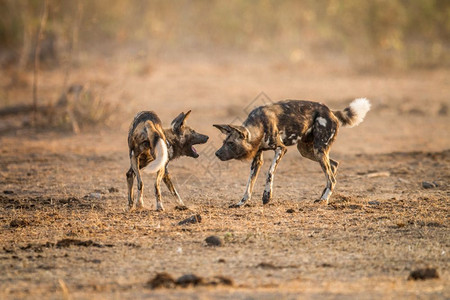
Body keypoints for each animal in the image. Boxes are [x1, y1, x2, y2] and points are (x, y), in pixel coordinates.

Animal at [214, 98, 370, 206]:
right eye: (224, 142)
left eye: (230, 143)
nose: (217, 153)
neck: (259, 127)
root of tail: (330, 111)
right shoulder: (257, 160)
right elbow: (249, 183)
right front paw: (242, 202)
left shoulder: (281, 149)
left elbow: (269, 172)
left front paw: (267, 196)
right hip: (308, 151)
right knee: (334, 165)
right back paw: (322, 196)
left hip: (318, 151)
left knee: (331, 178)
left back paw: (324, 200)